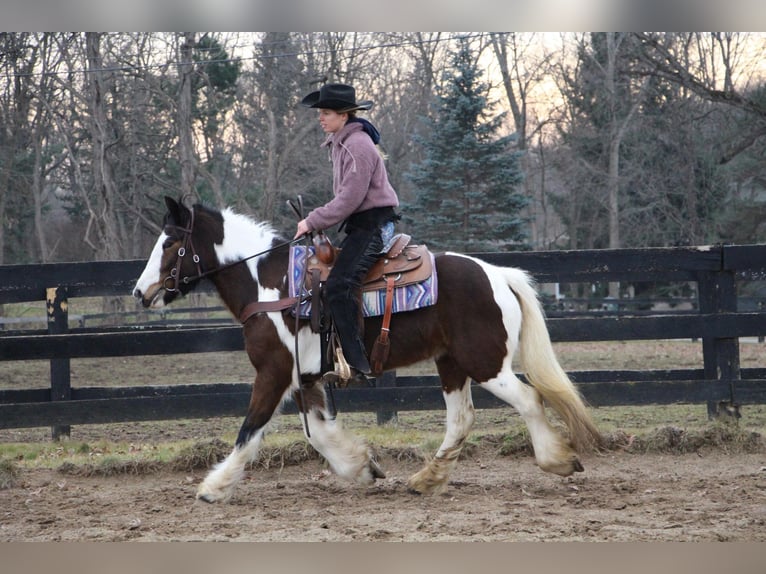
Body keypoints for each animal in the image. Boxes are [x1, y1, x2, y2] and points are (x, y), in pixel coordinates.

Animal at [135, 197, 604, 504]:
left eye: (170, 243)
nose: (141, 293)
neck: (271, 287)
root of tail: (498, 274)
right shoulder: (306, 378)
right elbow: (320, 431)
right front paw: (361, 466)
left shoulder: (273, 372)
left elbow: (249, 431)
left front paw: (213, 488)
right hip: (452, 363)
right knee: (461, 419)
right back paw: (426, 480)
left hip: (487, 363)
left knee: (529, 399)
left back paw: (558, 460)